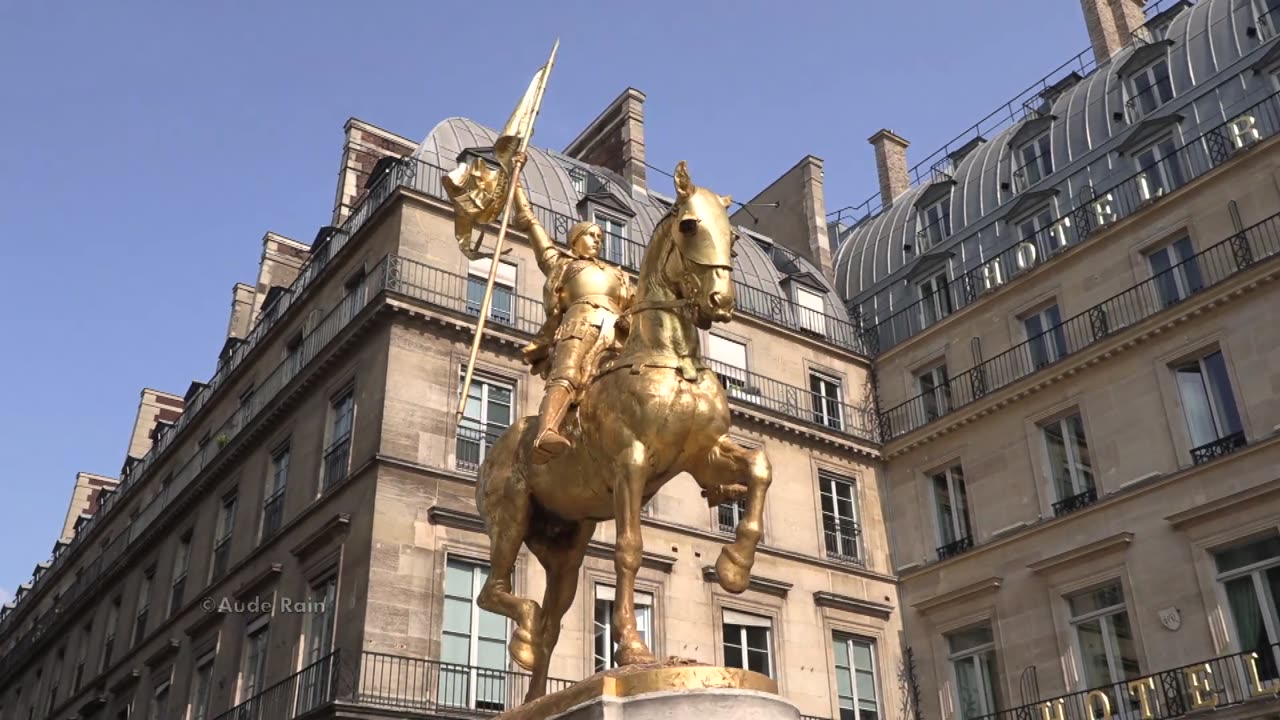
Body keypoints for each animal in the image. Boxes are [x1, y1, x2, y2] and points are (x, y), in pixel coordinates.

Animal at [473, 161, 762, 702]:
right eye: (689, 225)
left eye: (733, 237)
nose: (720, 301)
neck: (671, 358)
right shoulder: (632, 459)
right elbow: (630, 550)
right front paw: (632, 651)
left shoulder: (701, 454)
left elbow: (760, 467)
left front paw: (735, 565)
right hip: (510, 516)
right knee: (495, 592)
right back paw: (523, 639)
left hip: (563, 551)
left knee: (551, 622)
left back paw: (537, 693)